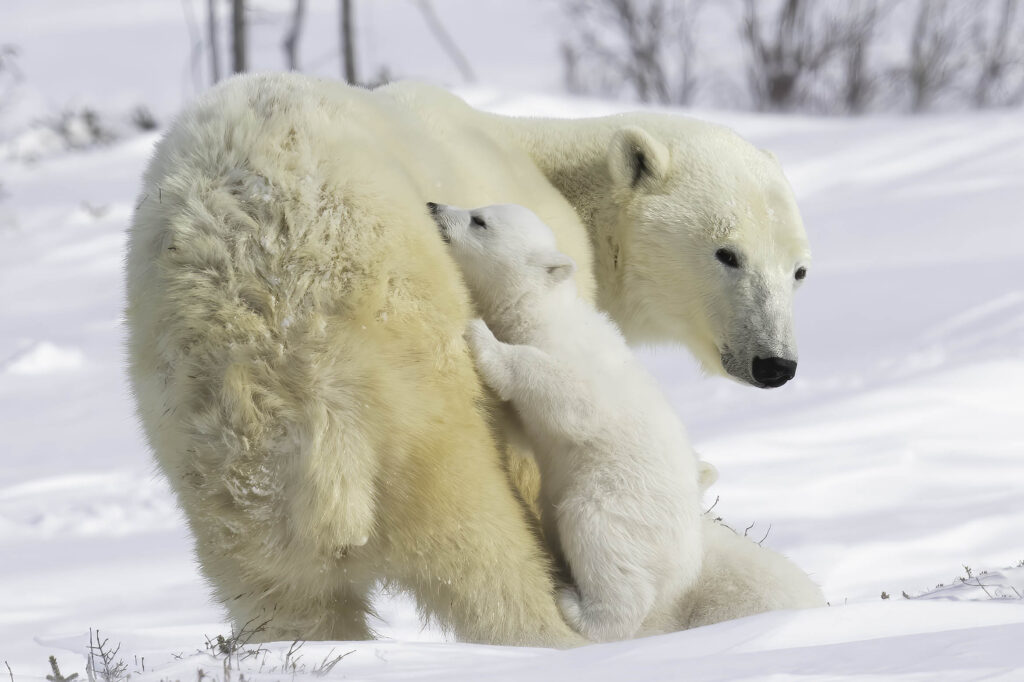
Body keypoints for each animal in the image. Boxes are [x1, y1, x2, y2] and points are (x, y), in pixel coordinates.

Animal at [430, 201, 704, 641]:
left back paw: (580, 609)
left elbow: (570, 397)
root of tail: (685, 566)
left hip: (621, 500)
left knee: (596, 534)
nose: (433, 206)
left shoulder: (573, 358)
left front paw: (482, 337)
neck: (541, 308)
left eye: (480, 220)